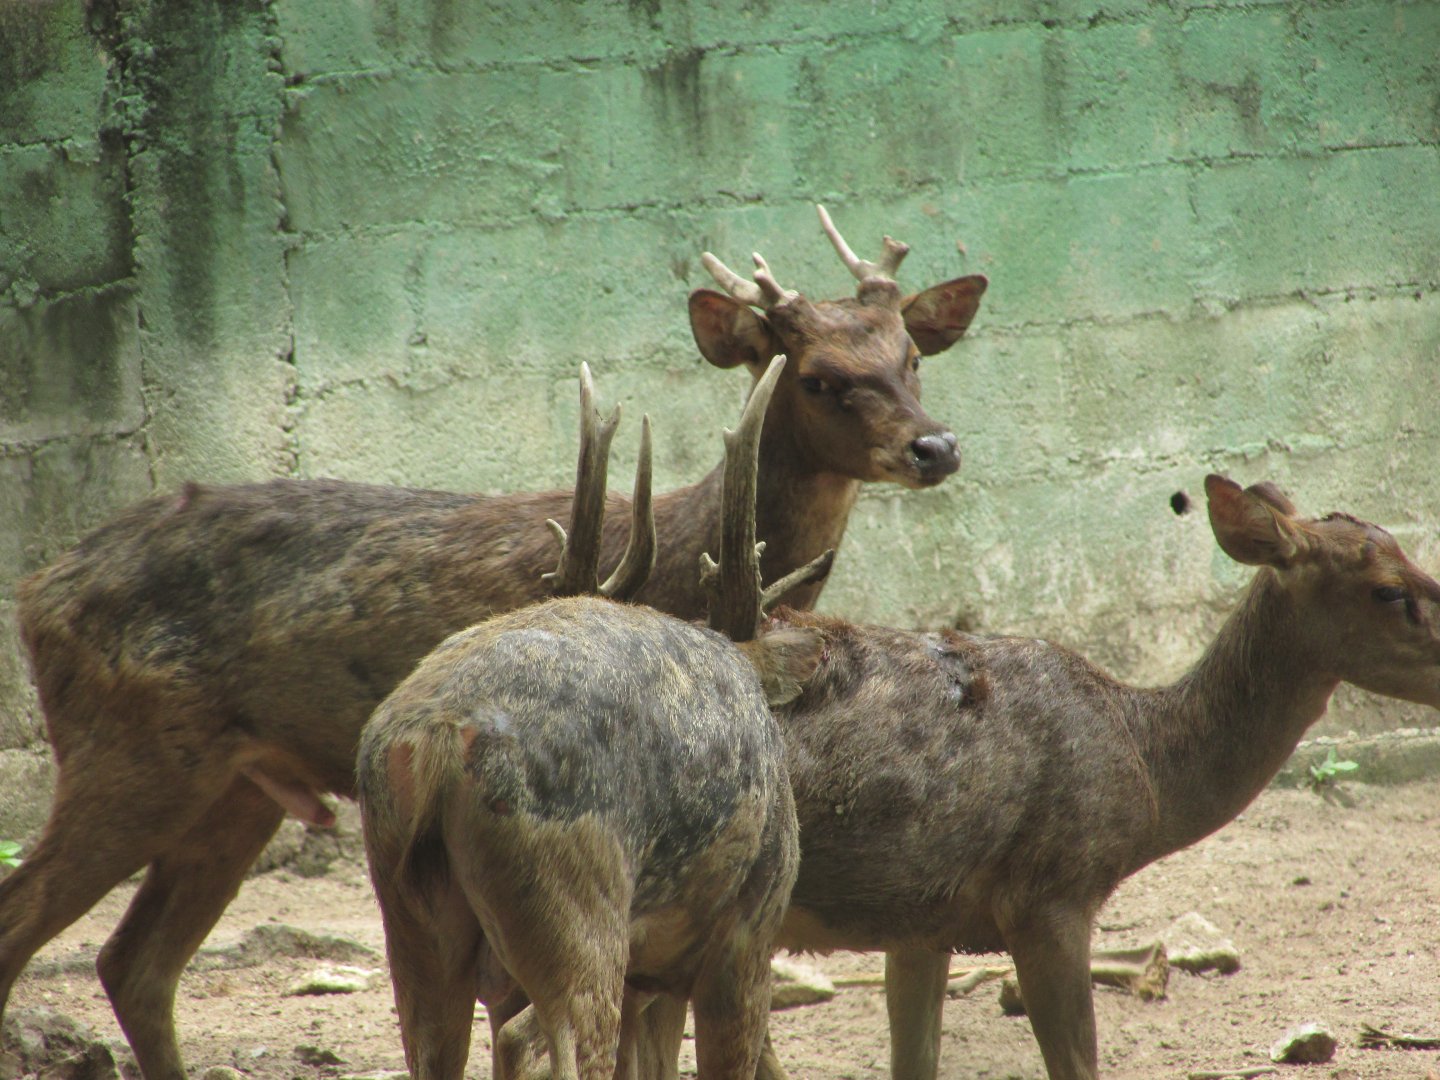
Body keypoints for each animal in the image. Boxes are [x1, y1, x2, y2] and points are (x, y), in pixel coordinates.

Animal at [357, 357, 827, 1080]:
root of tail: (433, 742)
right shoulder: (747, 934)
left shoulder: (653, 977)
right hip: (577, 910)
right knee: (542, 1041)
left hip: (413, 925)